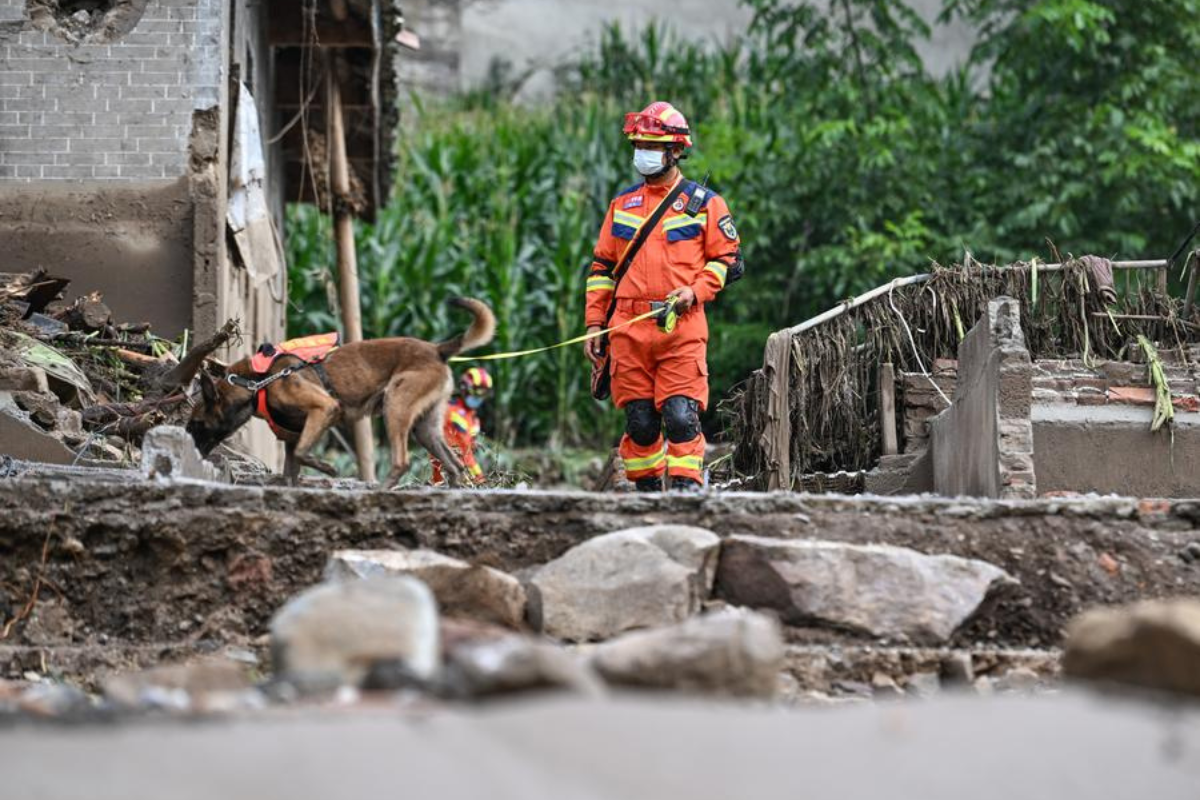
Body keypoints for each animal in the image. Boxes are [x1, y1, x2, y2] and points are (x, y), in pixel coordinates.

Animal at [184, 298, 494, 489]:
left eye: (195, 423)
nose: (192, 452)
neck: (255, 382)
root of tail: (437, 349)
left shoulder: (325, 409)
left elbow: (303, 453)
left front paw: (329, 469)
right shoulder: (293, 437)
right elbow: (291, 468)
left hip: (395, 407)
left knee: (402, 461)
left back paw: (381, 490)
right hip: (425, 428)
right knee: (455, 464)